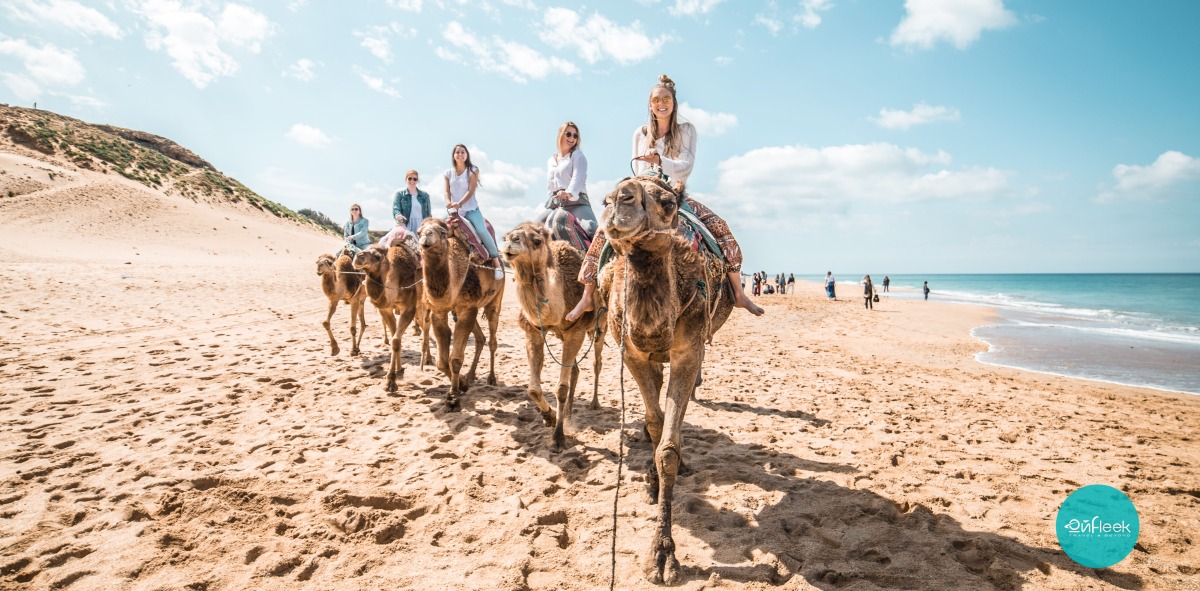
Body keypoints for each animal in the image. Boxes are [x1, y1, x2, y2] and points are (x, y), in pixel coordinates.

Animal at [351, 242, 430, 393]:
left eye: (377, 256)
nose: (358, 256)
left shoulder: (408, 308)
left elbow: (395, 341)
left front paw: (390, 381)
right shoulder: (385, 309)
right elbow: (395, 337)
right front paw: (399, 372)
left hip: (424, 304)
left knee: (428, 327)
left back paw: (427, 361)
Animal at [417, 217, 504, 410]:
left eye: (442, 232)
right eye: (418, 232)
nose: (426, 236)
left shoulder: (467, 308)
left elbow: (455, 358)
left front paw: (453, 397)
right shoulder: (440, 311)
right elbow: (442, 362)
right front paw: (462, 383)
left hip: (495, 300)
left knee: (492, 339)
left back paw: (491, 378)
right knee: (480, 338)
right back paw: (471, 375)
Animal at [501, 222, 605, 451]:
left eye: (537, 241)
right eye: (505, 236)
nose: (511, 242)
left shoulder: (576, 331)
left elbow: (561, 388)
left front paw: (558, 437)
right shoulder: (533, 331)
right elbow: (533, 389)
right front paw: (549, 416)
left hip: (599, 326)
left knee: (597, 362)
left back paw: (594, 403)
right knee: (575, 370)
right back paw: (567, 414)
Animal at [598, 176, 734, 585]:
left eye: (668, 202)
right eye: (606, 196)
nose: (618, 201)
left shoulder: (689, 350)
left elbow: (668, 448)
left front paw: (662, 555)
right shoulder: (631, 353)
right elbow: (655, 422)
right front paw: (654, 485)